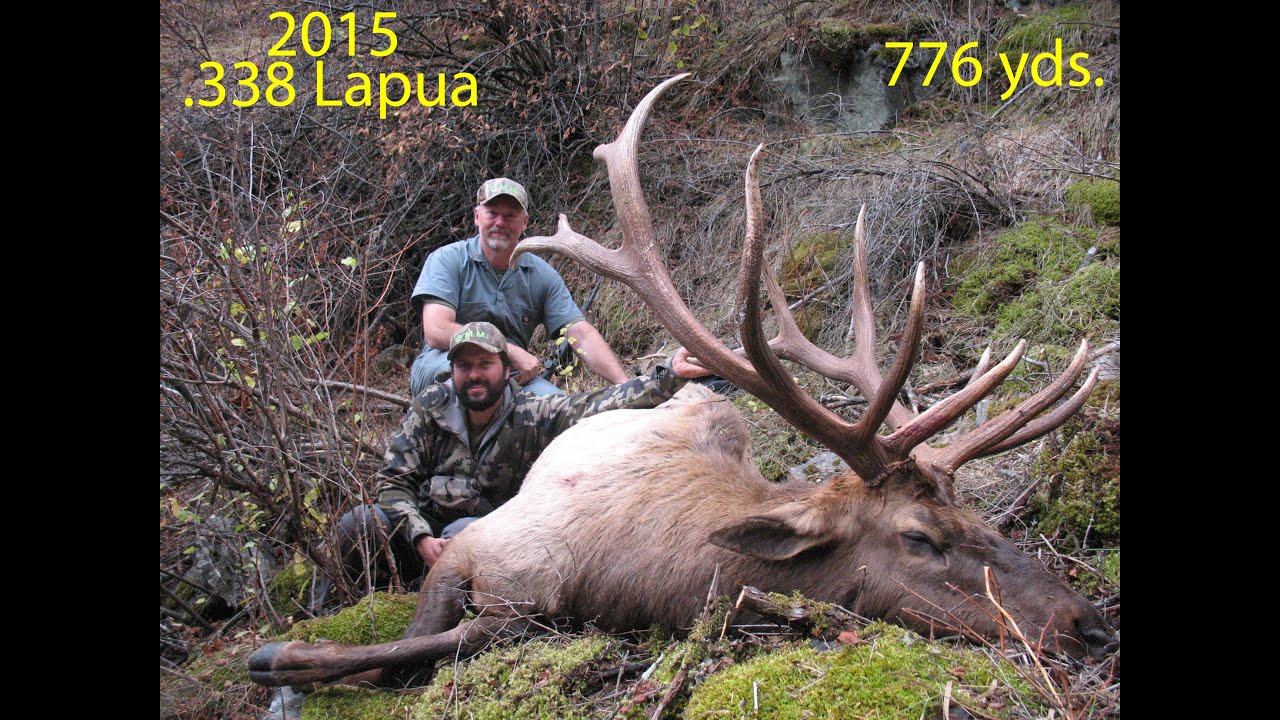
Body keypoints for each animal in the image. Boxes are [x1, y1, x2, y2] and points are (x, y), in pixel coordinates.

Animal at [249, 74, 1116, 688]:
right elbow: (401, 645)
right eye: (919, 537)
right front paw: (276, 654)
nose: (1089, 624)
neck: (634, 572)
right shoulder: (477, 551)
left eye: (984, 519)